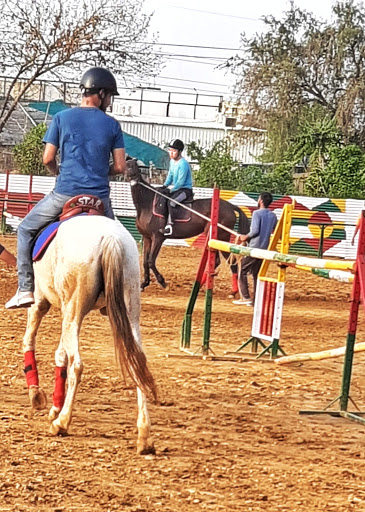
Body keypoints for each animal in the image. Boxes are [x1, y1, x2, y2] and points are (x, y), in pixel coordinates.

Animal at [20, 214, 156, 454]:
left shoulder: (40, 302)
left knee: (77, 365)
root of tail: (110, 237)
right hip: (129, 311)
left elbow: (30, 340)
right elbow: (60, 354)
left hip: (74, 310)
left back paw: (62, 422)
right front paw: (54, 406)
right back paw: (144, 435)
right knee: (137, 364)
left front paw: (37, 395)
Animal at [123, 158, 249, 292]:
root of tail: (230, 206)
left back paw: (233, 291)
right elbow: (145, 261)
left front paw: (163, 283)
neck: (147, 204)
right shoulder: (147, 238)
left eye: (134, 166)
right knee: (218, 261)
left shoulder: (158, 237)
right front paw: (144, 284)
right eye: (126, 165)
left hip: (220, 237)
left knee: (230, 261)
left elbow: (151, 261)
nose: (131, 178)